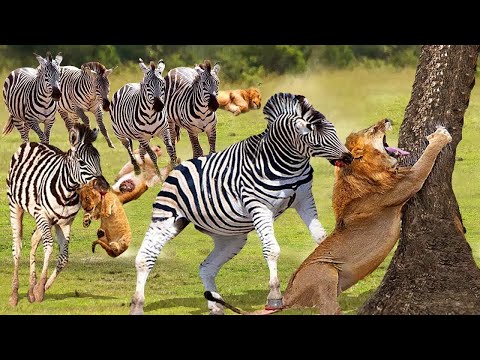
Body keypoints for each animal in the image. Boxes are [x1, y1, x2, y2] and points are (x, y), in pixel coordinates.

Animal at [6, 122, 108, 306]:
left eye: (99, 159)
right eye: (81, 162)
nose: (104, 187)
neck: (68, 192)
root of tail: (32, 143)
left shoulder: (65, 223)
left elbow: (64, 257)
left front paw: (41, 288)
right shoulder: (42, 214)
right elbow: (48, 247)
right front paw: (40, 289)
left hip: (48, 220)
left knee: (34, 239)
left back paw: (30, 291)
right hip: (17, 207)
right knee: (17, 247)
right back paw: (14, 295)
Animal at [129, 93, 354, 316]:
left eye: (333, 129)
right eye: (314, 134)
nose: (349, 157)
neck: (288, 164)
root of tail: (178, 167)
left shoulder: (304, 198)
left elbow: (321, 237)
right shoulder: (259, 206)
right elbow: (271, 249)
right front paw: (274, 297)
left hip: (230, 236)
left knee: (206, 267)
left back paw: (216, 306)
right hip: (166, 218)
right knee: (145, 259)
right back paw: (137, 305)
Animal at [206, 119, 454, 316]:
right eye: (373, 129)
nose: (386, 119)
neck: (369, 172)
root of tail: (286, 297)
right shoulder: (411, 182)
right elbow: (426, 159)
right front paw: (440, 135)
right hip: (325, 270)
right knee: (329, 309)